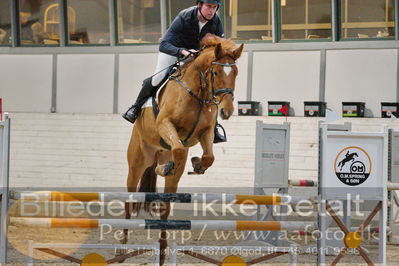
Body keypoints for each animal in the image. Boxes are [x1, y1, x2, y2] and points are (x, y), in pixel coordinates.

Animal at [124, 34, 244, 264]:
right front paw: (168, 167)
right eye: (216, 72)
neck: (197, 92)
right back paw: (122, 246)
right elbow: (179, 149)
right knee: (129, 197)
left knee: (165, 206)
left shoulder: (205, 132)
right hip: (137, 162)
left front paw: (196, 165)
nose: (226, 111)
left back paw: (163, 251)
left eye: (235, 72)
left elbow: (208, 156)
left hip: (169, 173)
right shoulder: (165, 124)